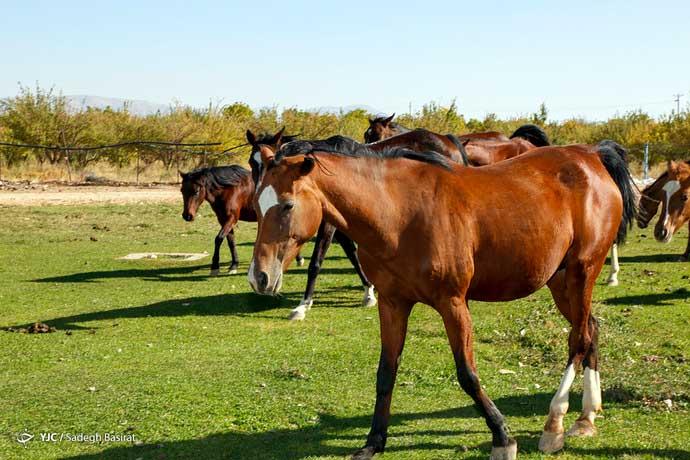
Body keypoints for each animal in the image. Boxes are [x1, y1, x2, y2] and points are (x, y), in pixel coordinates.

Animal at [246, 138, 636, 458]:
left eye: (286, 205)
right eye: (257, 205)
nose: (259, 277)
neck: (400, 213)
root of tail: (592, 156)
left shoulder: (453, 303)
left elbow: (467, 374)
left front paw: (502, 437)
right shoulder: (392, 303)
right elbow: (385, 372)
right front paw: (374, 442)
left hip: (584, 270)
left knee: (578, 339)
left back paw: (554, 424)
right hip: (560, 280)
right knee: (591, 330)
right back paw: (586, 417)